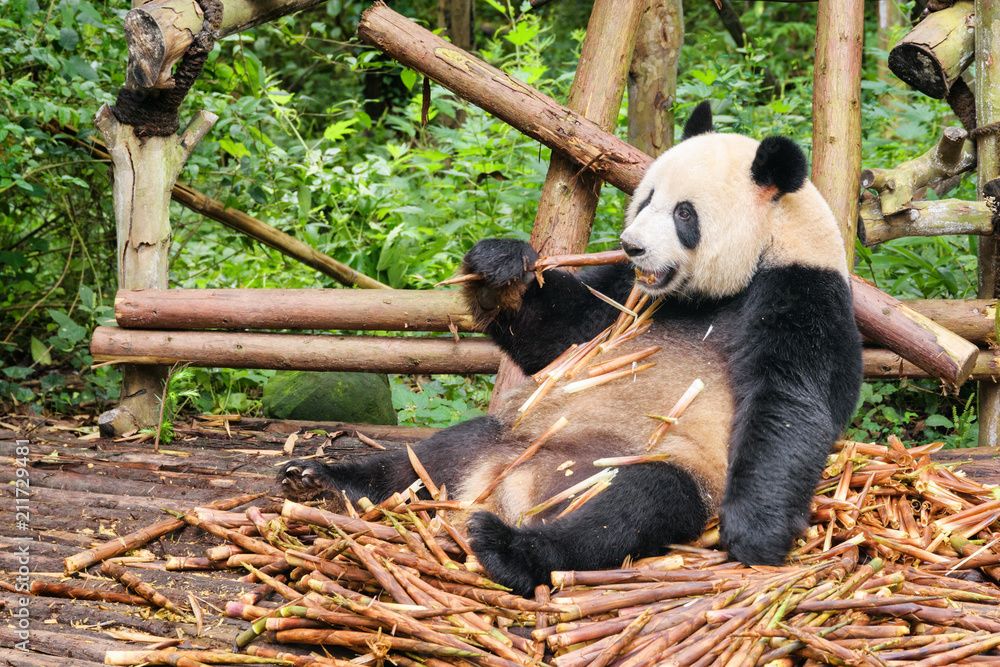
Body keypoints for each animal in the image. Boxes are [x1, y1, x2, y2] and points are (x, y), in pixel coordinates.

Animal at [278, 102, 863, 597]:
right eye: (645, 198)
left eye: (684, 214)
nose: (632, 245)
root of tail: (508, 488)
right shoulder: (627, 298)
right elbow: (558, 335)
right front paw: (500, 264)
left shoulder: (802, 292)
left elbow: (789, 403)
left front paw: (755, 536)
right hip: (508, 436)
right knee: (425, 460)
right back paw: (323, 481)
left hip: (650, 464)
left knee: (627, 509)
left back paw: (510, 549)